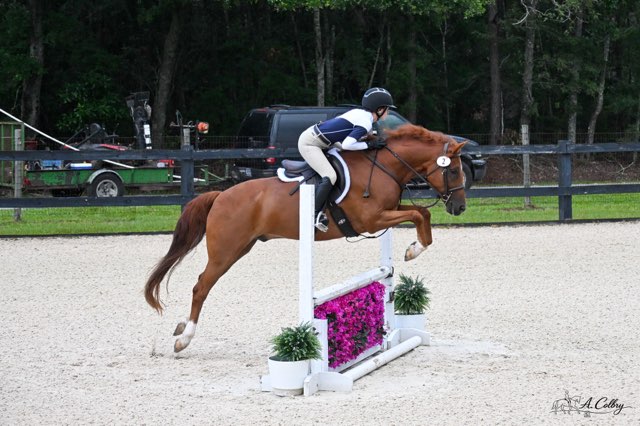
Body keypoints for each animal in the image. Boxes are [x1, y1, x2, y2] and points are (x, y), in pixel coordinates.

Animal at [145, 124, 467, 352]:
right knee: (201, 287)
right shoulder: (371, 219)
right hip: (226, 251)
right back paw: (184, 338)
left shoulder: (388, 211)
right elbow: (418, 215)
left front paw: (414, 247)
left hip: (241, 247)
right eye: (452, 170)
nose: (459, 207)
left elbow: (420, 213)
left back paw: (180, 327)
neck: (384, 166)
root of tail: (220, 195)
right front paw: (414, 249)